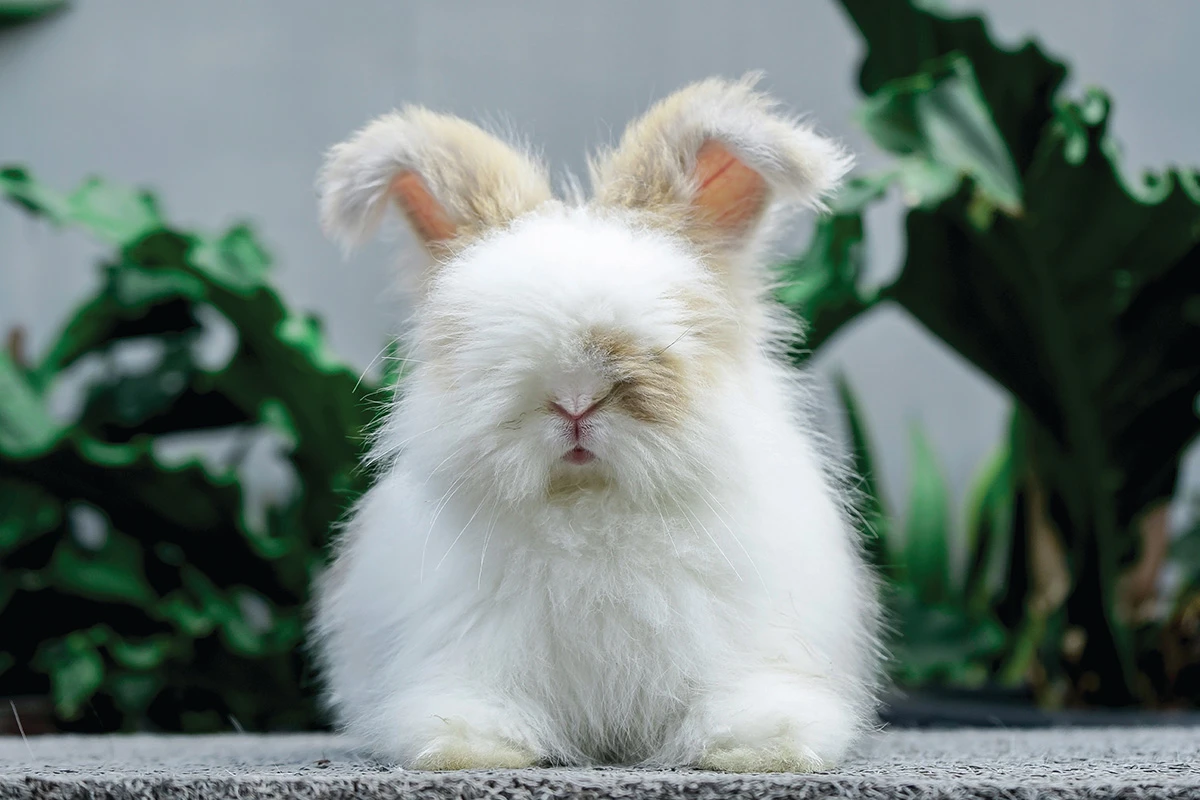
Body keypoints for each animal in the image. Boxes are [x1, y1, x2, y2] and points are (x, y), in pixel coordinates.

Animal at [311, 73, 882, 773]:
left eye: (674, 327)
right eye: (479, 339)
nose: (576, 399)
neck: (590, 512)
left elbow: (746, 699)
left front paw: (761, 748)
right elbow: (468, 704)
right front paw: (466, 746)